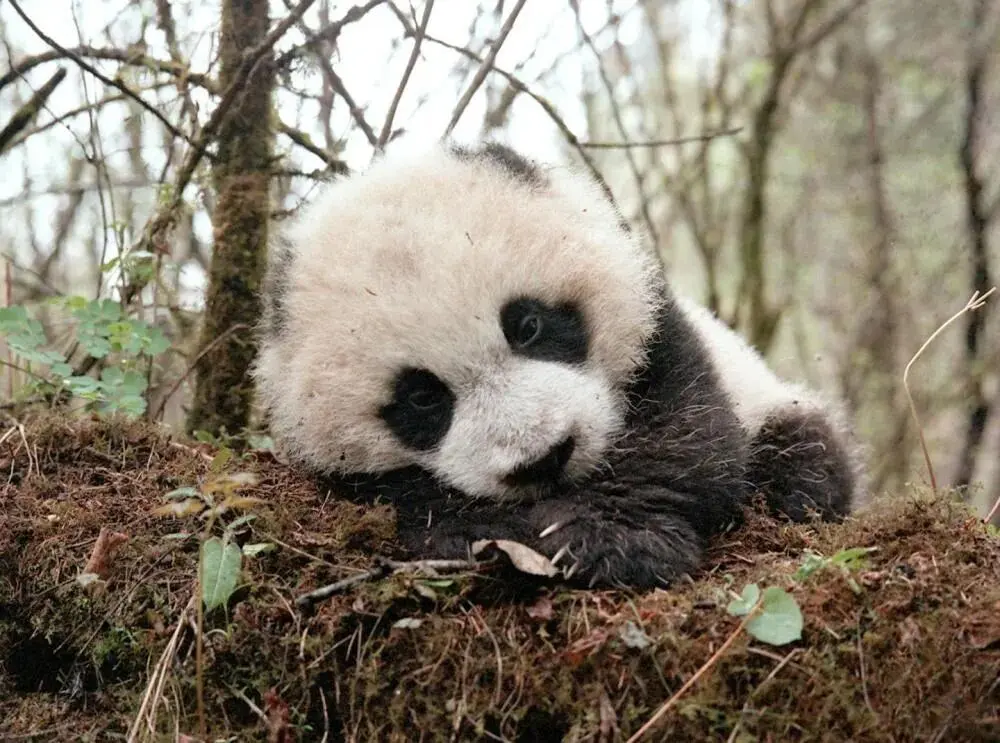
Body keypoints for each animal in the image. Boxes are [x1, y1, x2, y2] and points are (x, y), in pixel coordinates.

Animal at [253, 141, 866, 590]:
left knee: (805, 451)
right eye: (422, 397)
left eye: (528, 325)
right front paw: (495, 531)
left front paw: (608, 541)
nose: (544, 458)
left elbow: (685, 434)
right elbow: (405, 496)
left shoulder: (659, 330)